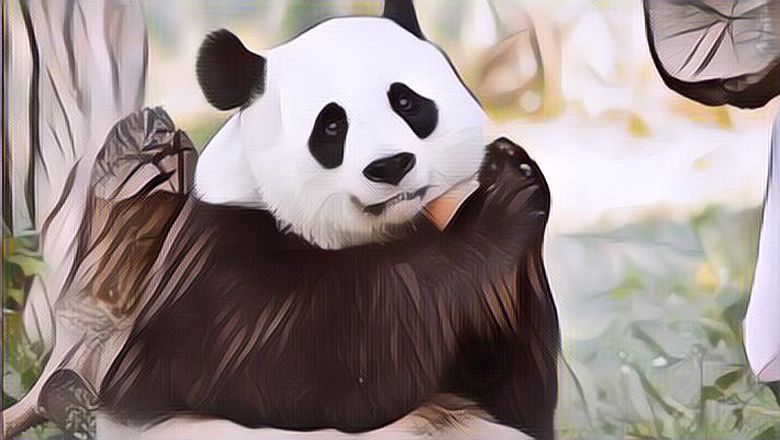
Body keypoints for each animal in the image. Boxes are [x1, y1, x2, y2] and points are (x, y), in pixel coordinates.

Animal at [98, 1, 560, 439]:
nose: (390, 165)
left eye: (405, 101)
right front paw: (504, 197)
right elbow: (318, 376)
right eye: (332, 126)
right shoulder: (219, 276)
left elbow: (515, 398)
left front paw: (513, 167)